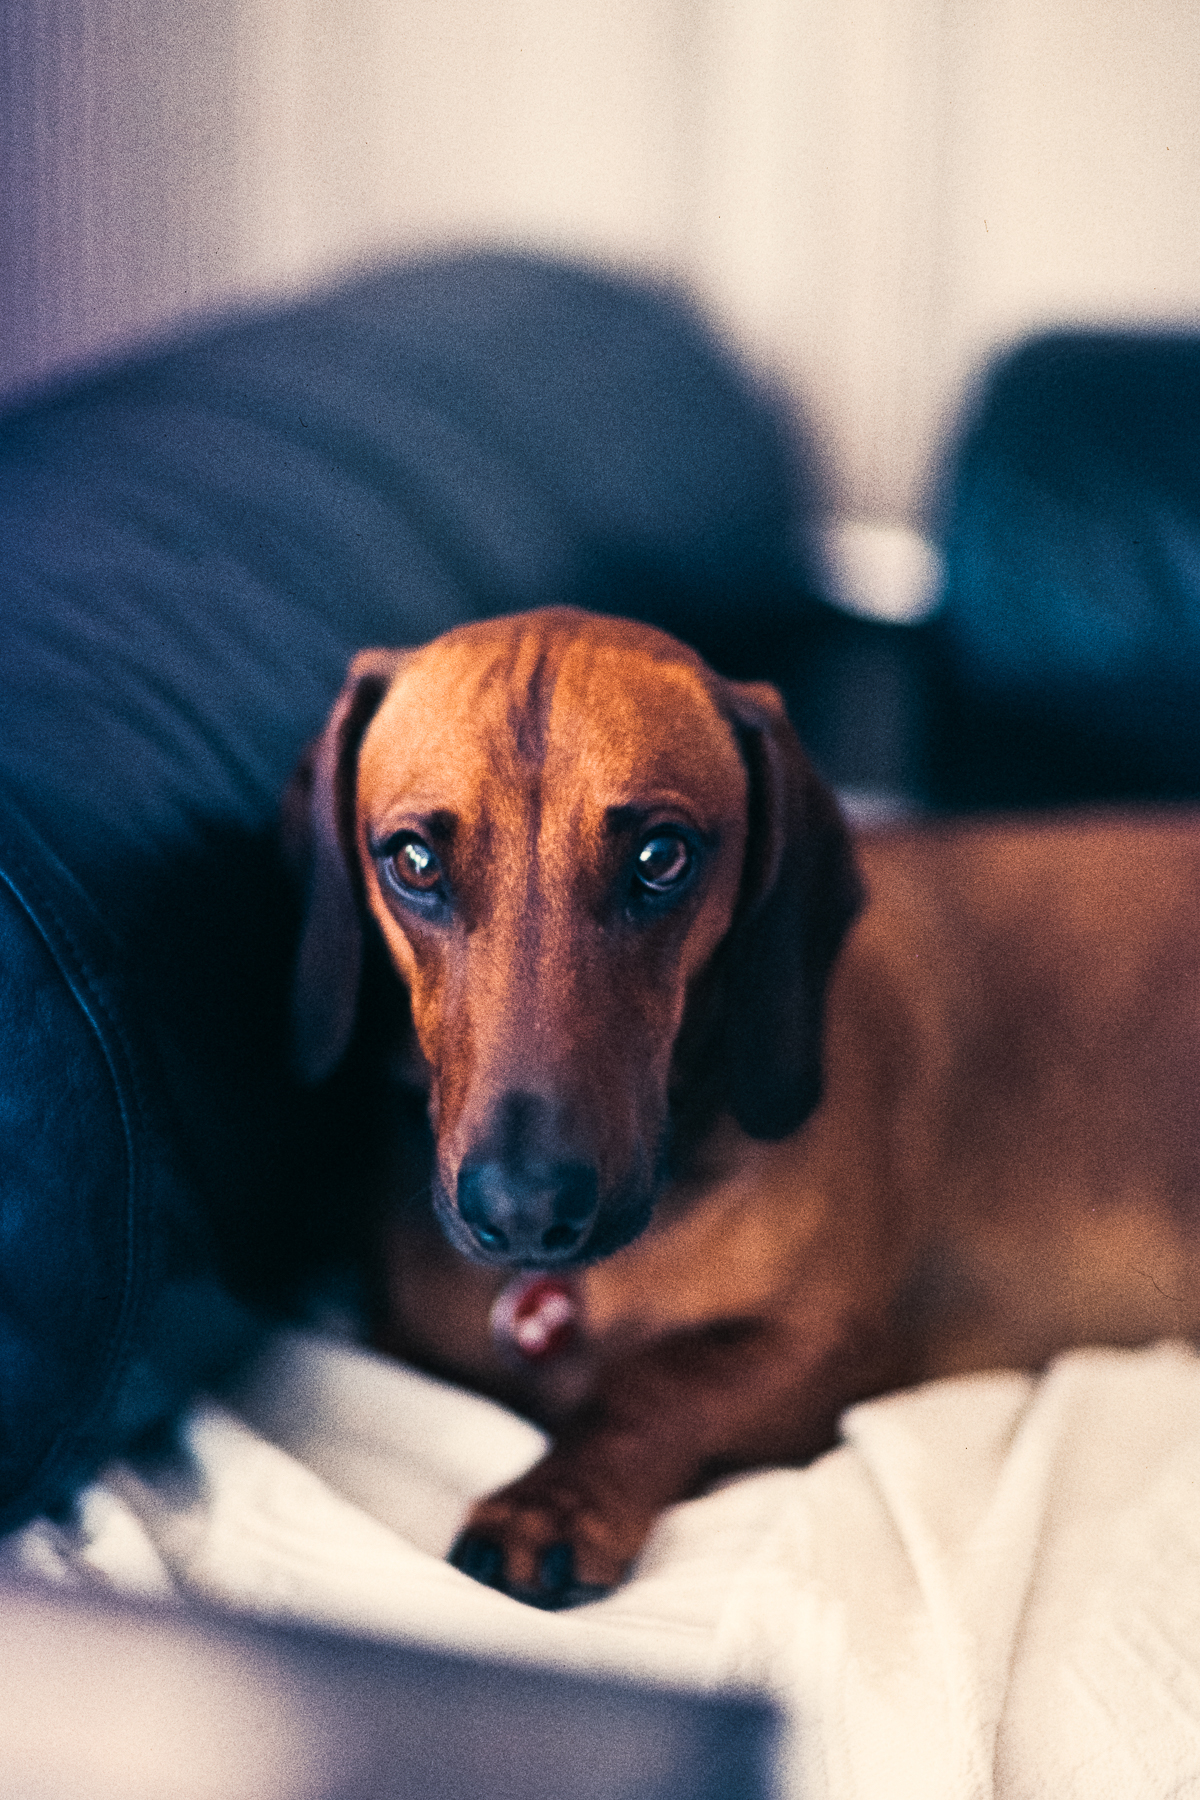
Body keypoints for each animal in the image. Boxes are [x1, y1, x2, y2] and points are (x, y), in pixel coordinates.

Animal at [286, 604, 1200, 1605]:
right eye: (413, 860)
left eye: (661, 856)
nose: (526, 1211)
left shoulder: (829, 1349)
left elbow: (658, 1381)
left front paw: (548, 1503)